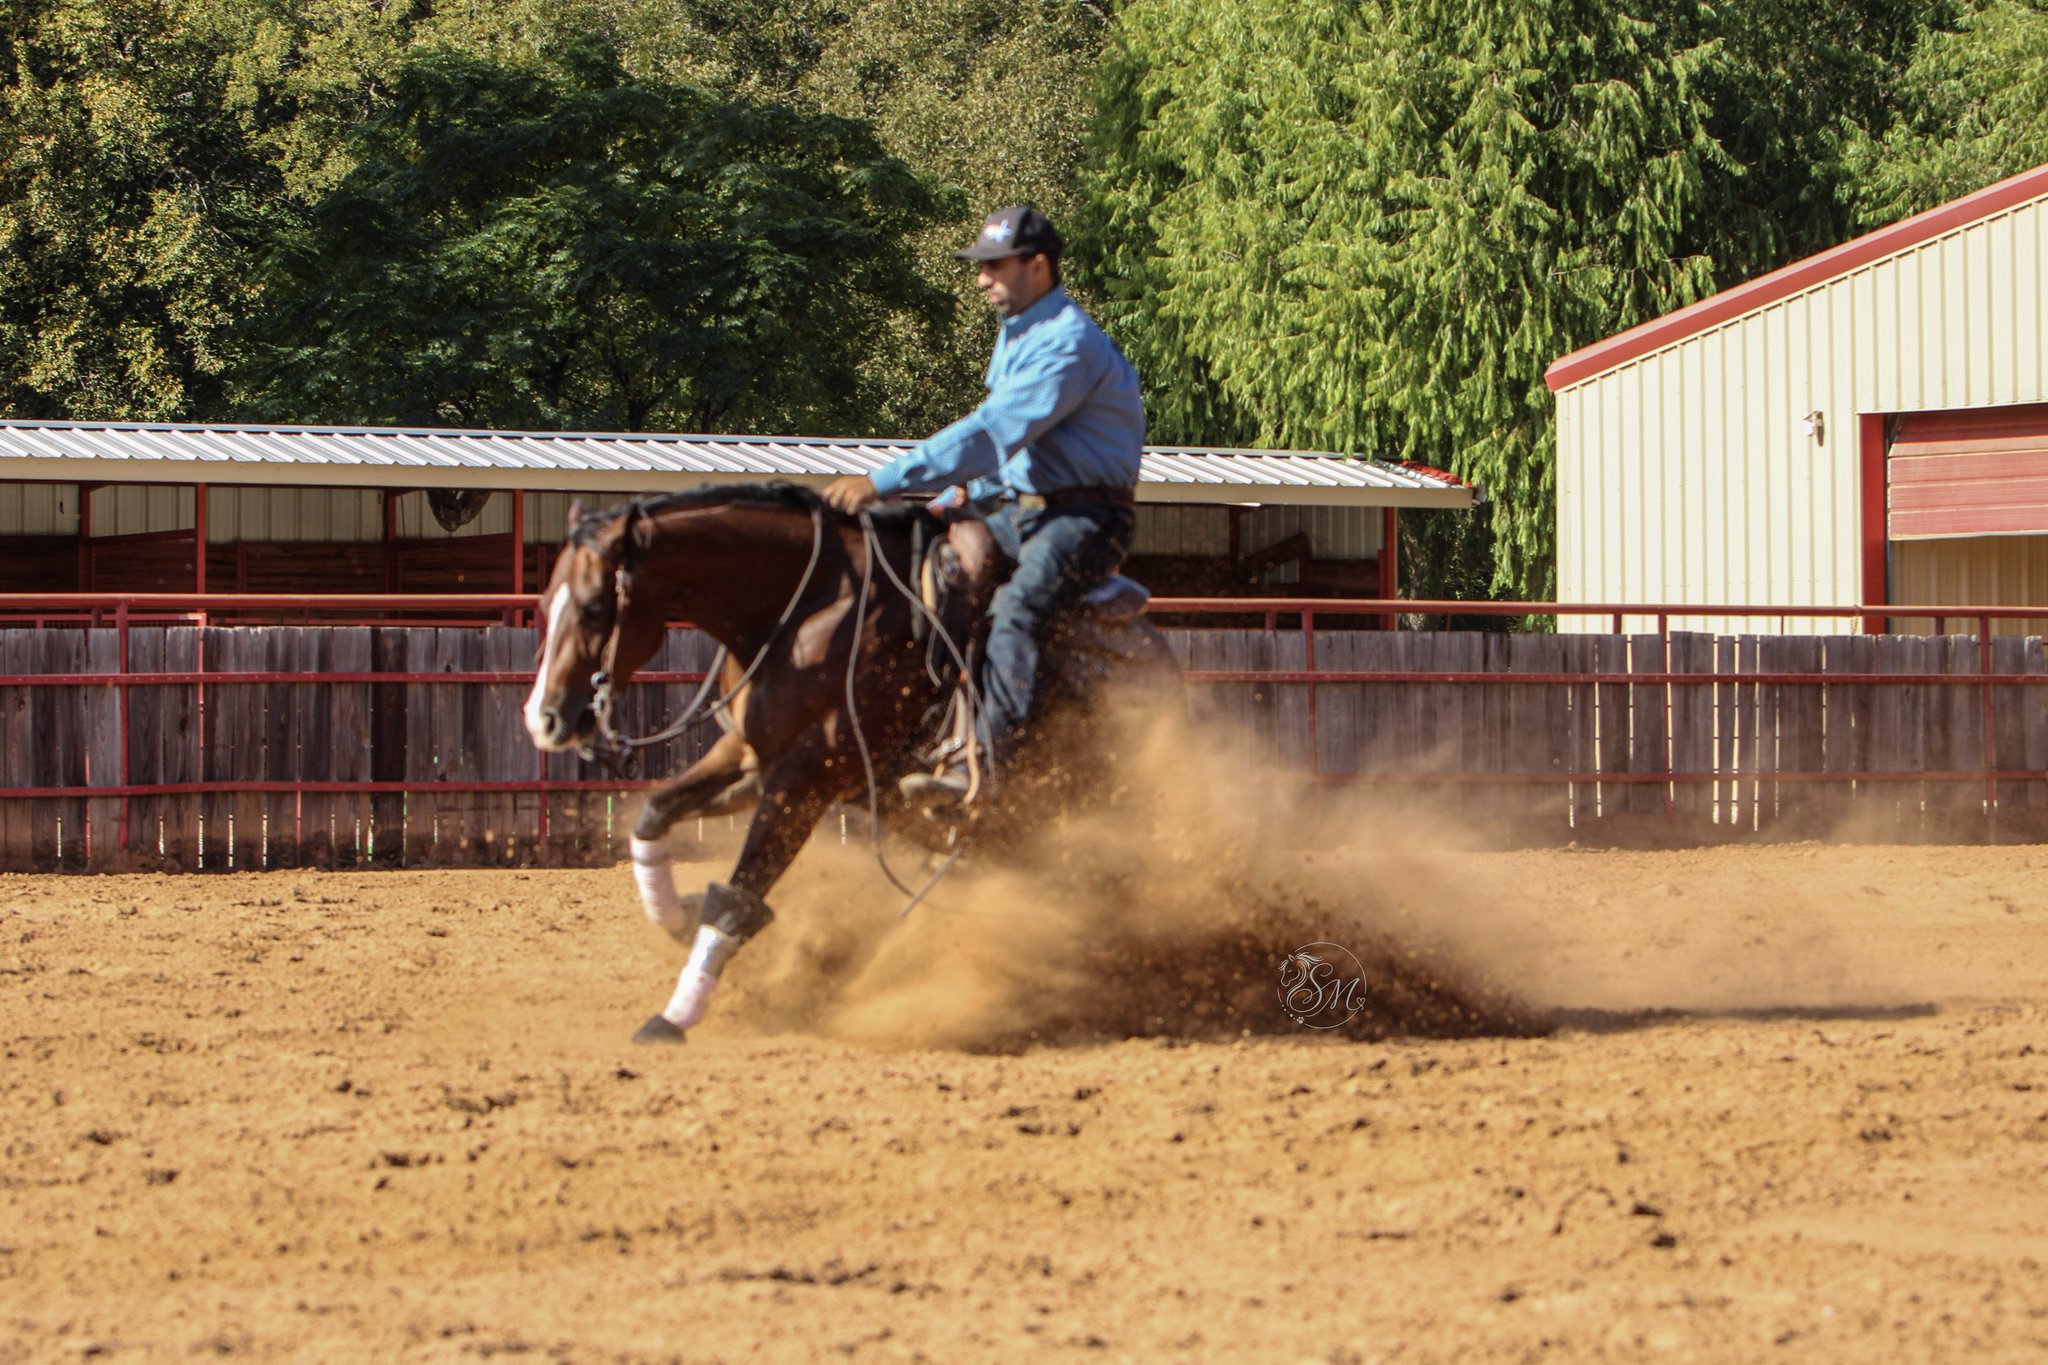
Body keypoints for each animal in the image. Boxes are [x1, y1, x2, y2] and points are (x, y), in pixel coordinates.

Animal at [522, 482, 1180, 1043]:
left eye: (593, 608)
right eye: (543, 602)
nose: (544, 719)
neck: (805, 613)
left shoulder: (804, 781)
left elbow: (739, 897)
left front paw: (675, 1016)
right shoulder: (749, 760)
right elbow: (653, 814)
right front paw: (676, 917)